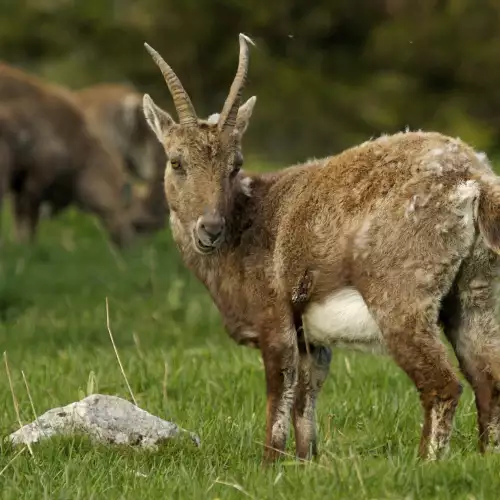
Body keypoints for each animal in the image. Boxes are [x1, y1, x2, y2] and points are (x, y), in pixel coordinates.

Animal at [0, 63, 136, 247]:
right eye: (126, 208)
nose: (131, 245)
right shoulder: (37, 175)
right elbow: (28, 215)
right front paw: (25, 245)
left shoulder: (19, 181)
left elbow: (19, 215)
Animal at [144, 35, 500, 464]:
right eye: (176, 161)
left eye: (236, 163)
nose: (210, 229)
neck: (248, 222)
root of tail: (475, 179)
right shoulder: (311, 341)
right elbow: (304, 405)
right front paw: (306, 462)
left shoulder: (275, 319)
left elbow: (279, 401)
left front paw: (269, 466)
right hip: (476, 292)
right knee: (489, 379)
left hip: (402, 297)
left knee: (443, 384)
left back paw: (425, 463)